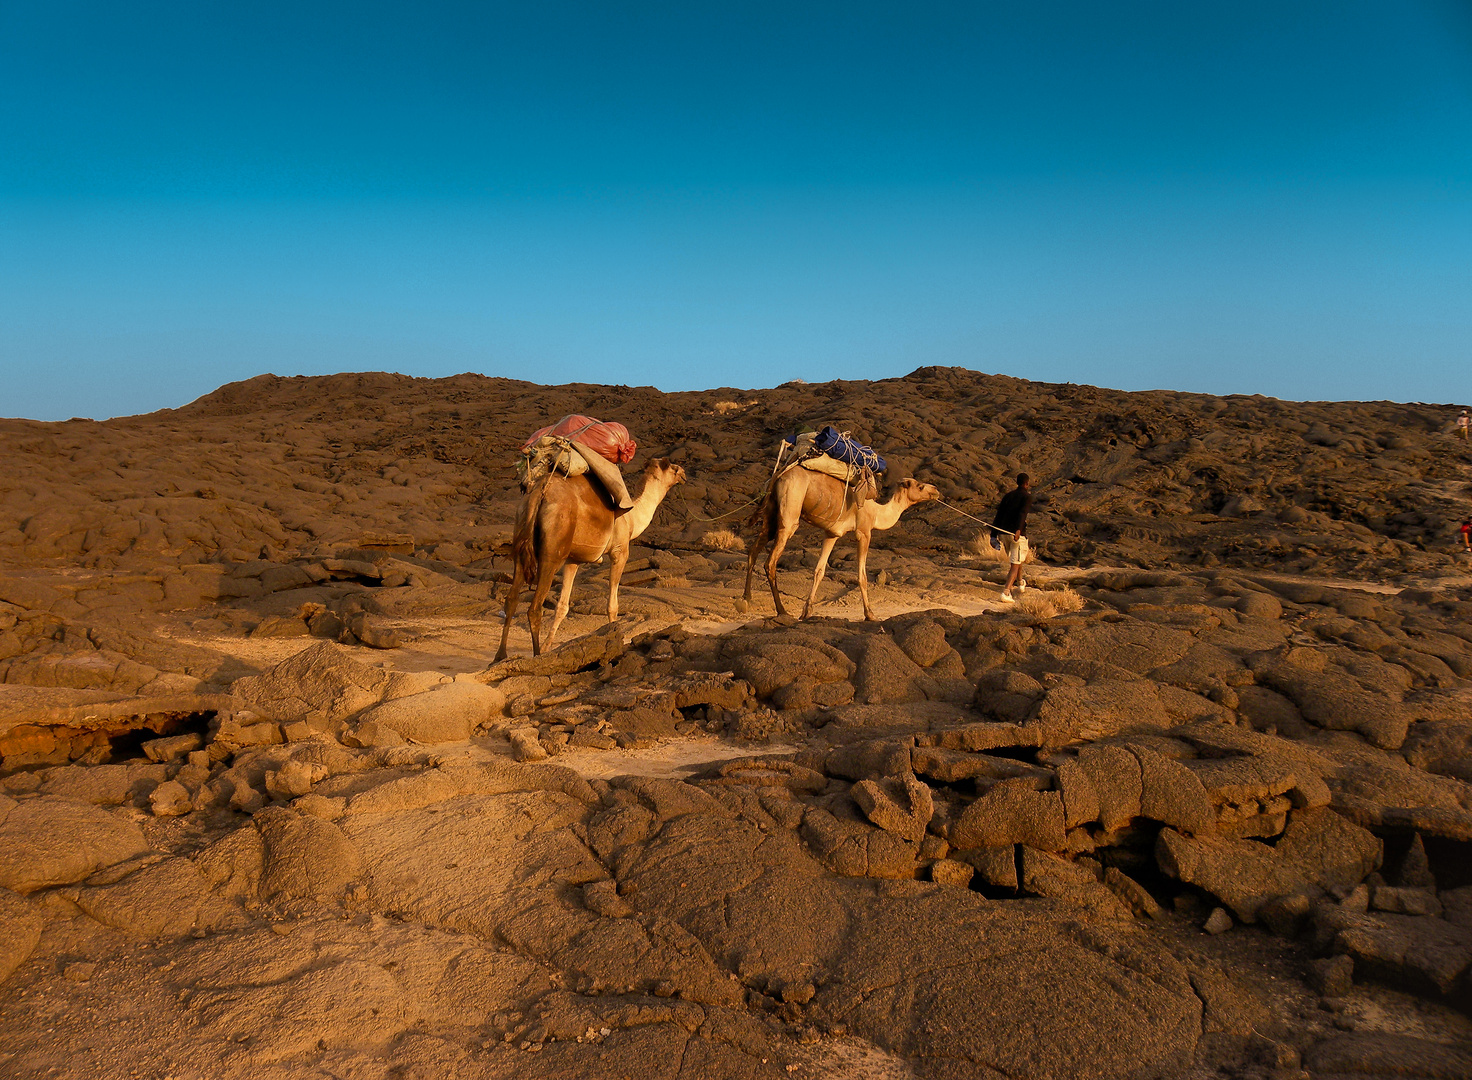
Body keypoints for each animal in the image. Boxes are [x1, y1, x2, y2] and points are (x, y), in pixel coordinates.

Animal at [491, 456, 680, 659]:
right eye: (673, 468)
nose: (683, 473)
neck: (632, 519)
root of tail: (540, 491)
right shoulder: (620, 552)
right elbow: (612, 605)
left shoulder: (573, 560)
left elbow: (562, 606)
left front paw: (548, 646)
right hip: (552, 551)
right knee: (534, 607)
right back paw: (536, 655)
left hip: (521, 534)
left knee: (511, 599)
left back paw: (499, 656)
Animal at [741, 470, 936, 620]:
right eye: (919, 486)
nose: (935, 490)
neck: (876, 513)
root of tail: (779, 477)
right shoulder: (864, 532)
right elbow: (862, 576)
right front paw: (870, 614)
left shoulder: (831, 534)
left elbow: (819, 571)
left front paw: (807, 611)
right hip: (790, 512)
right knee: (770, 562)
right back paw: (782, 611)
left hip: (772, 514)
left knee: (753, 550)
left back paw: (745, 600)